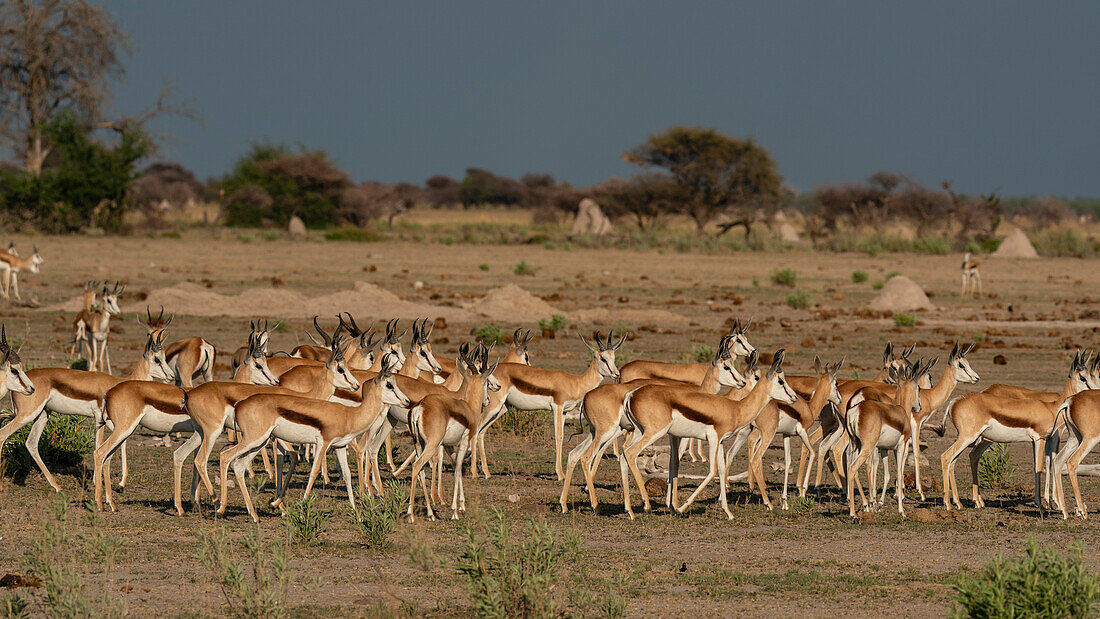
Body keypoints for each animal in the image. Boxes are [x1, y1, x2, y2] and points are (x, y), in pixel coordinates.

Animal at [0, 332, 173, 492]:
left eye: (164, 357)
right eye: (157, 359)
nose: (171, 376)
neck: (118, 384)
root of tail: (24, 385)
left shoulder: (116, 423)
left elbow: (121, 443)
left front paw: (121, 483)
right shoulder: (100, 419)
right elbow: (100, 445)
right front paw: (99, 482)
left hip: (42, 414)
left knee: (31, 444)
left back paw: (57, 486)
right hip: (27, 415)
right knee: (3, 434)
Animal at [214, 354, 409, 523]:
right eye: (389, 385)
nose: (407, 401)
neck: (348, 415)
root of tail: (240, 404)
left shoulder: (340, 447)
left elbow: (347, 476)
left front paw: (358, 515)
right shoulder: (323, 443)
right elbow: (314, 473)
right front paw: (297, 509)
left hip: (258, 442)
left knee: (239, 465)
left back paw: (254, 515)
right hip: (254, 439)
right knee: (225, 456)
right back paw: (221, 508)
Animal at [620, 351, 800, 521]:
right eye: (781, 381)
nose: (794, 397)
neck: (735, 408)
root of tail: (631, 394)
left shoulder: (720, 442)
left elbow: (721, 469)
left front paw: (728, 513)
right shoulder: (713, 439)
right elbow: (713, 471)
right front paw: (680, 509)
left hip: (639, 431)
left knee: (623, 454)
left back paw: (630, 512)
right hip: (654, 432)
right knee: (631, 453)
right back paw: (646, 504)